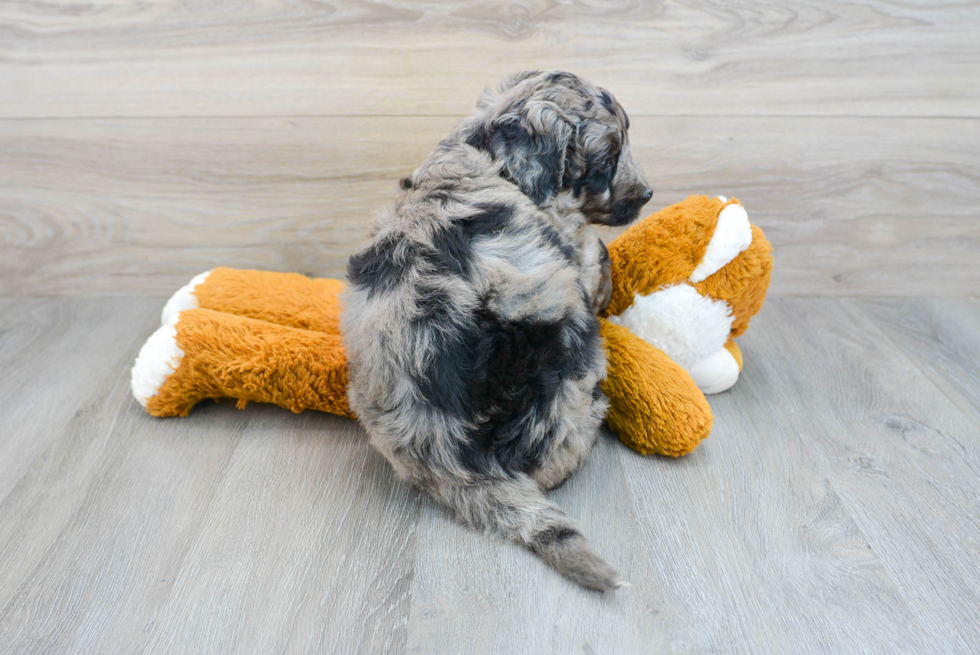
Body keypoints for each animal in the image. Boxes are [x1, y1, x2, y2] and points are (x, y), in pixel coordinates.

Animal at [340, 72, 656, 596]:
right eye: (607, 160)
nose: (648, 194)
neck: (488, 156)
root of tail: (451, 456)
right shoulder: (572, 247)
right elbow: (596, 249)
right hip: (571, 370)